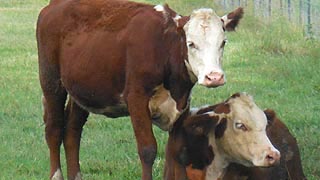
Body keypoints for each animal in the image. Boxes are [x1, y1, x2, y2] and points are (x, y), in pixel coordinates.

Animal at [36, 0, 242, 179]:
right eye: (191, 43)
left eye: (223, 42)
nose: (214, 76)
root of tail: (54, 5)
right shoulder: (136, 99)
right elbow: (147, 149)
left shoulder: (182, 104)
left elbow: (178, 152)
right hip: (51, 81)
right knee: (54, 129)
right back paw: (56, 175)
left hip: (82, 91)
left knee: (72, 131)